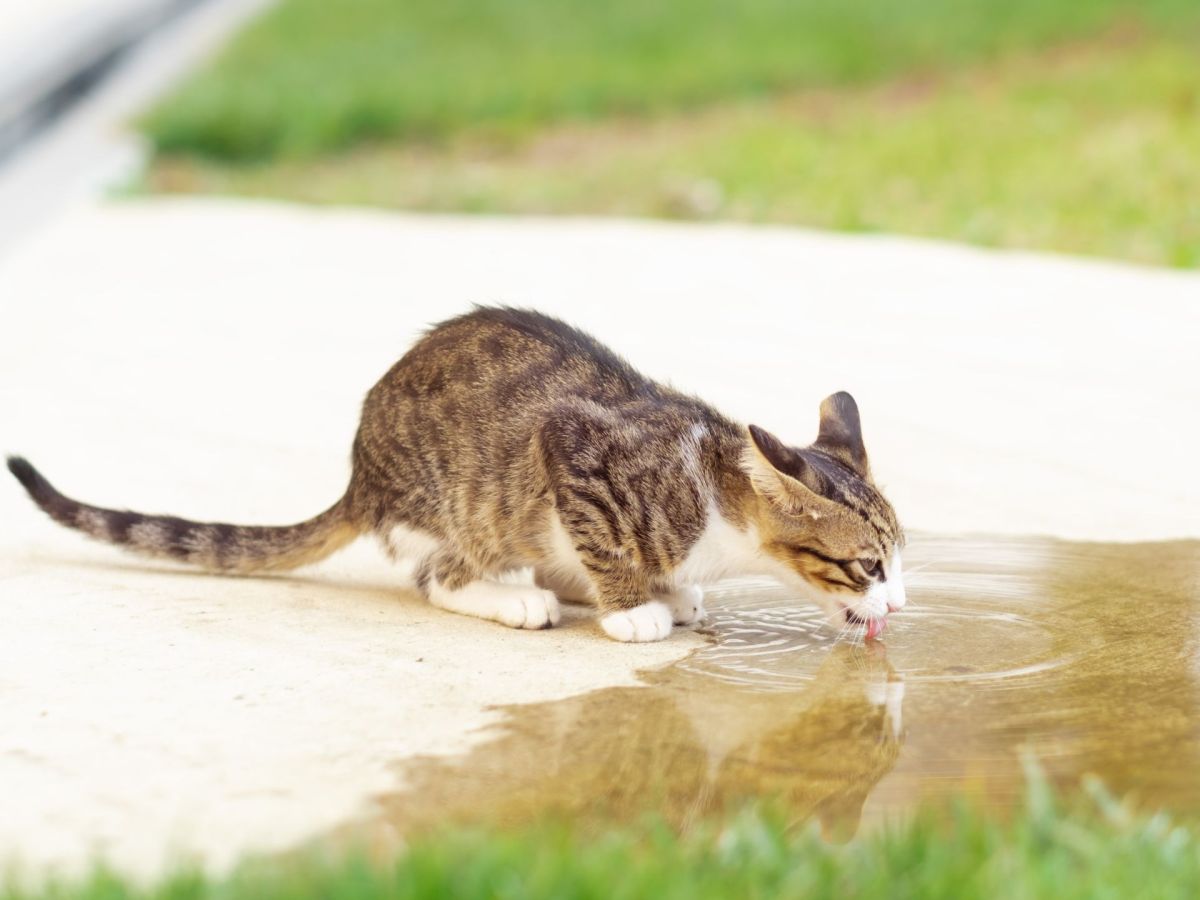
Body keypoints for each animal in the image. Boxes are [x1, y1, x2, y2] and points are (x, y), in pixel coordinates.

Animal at [9, 309, 902, 643]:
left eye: (899, 562)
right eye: (868, 565)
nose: (897, 605)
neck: (714, 491)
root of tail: (361, 476)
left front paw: (660, 592)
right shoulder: (572, 450)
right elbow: (607, 541)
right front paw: (629, 610)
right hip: (471, 505)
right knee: (439, 573)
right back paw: (515, 598)